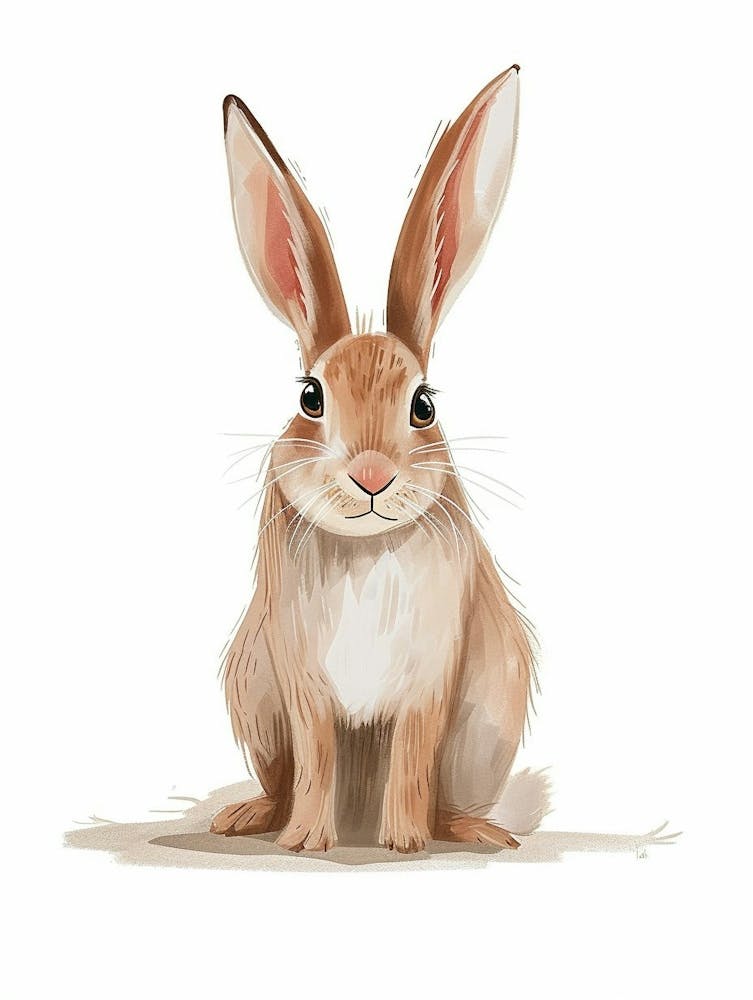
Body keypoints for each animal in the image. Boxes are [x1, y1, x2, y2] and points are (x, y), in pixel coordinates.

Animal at [212, 65, 536, 853]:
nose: (371, 477)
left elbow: (413, 756)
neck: (364, 547)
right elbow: (317, 754)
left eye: (422, 405)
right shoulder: (298, 679)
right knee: (283, 777)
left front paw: (403, 842)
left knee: (443, 791)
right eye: (310, 397)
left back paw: (473, 830)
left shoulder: (431, 680)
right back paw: (251, 817)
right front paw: (305, 841)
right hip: (252, 691)